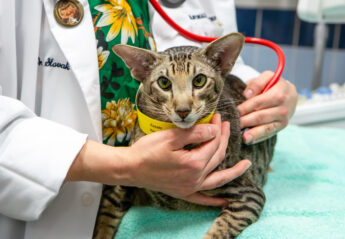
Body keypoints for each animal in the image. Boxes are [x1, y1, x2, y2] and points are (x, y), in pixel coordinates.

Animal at [92, 32, 276, 239]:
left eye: (199, 80)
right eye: (164, 82)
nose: (182, 110)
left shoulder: (249, 195)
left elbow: (219, 231)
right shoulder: (118, 185)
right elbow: (104, 218)